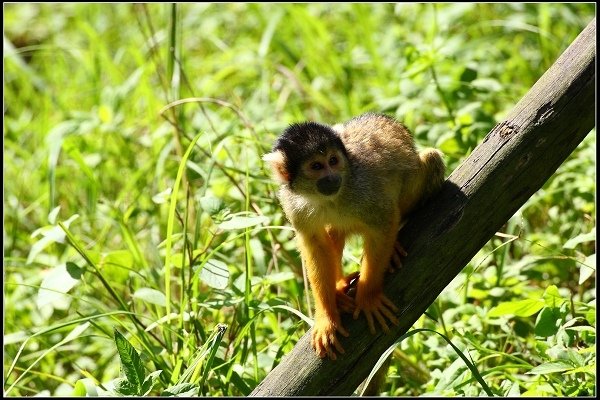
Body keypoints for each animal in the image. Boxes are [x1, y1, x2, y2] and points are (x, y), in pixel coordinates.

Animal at [264, 112, 446, 360]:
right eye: (316, 166)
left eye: (333, 161)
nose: (332, 177)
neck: (325, 198)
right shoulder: (293, 203)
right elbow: (315, 246)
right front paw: (326, 316)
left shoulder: (363, 188)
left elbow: (385, 220)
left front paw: (368, 298)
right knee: (334, 231)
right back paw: (339, 287)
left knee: (430, 159)